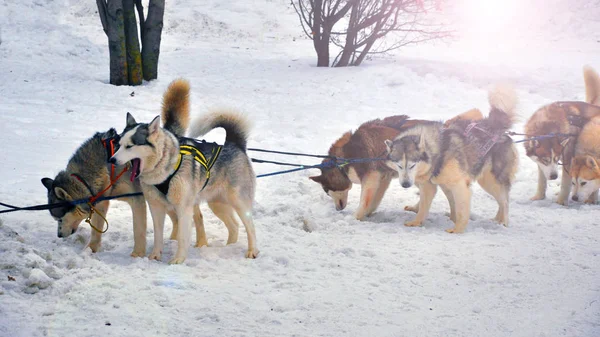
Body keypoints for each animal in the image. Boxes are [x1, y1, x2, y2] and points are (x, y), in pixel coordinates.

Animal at [41, 79, 204, 258]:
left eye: (59, 219)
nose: (59, 235)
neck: (105, 167)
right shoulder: (102, 203)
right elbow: (96, 231)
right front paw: (91, 250)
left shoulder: (137, 200)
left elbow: (138, 231)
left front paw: (137, 254)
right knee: (175, 218)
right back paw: (173, 240)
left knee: (195, 217)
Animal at [110, 79, 258, 262]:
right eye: (119, 144)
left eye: (130, 146)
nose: (112, 160)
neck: (164, 169)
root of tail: (234, 144)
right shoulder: (156, 207)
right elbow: (158, 235)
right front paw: (154, 255)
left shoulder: (183, 208)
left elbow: (182, 236)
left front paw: (178, 260)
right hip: (217, 203)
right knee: (235, 225)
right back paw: (228, 247)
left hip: (239, 202)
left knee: (250, 226)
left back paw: (252, 250)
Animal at [384, 85, 520, 232]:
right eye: (399, 165)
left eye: (412, 165)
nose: (405, 184)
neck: (438, 150)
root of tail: (495, 128)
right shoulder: (430, 186)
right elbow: (425, 206)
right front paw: (416, 221)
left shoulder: (459, 185)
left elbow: (461, 210)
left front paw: (457, 229)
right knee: (501, 201)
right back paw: (496, 220)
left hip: (492, 182)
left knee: (504, 202)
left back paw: (503, 223)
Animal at [524, 64, 600, 203]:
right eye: (545, 160)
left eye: (557, 158)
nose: (554, 176)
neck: (547, 125)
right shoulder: (541, 164)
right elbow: (542, 180)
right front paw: (539, 196)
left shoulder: (568, 160)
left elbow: (566, 184)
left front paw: (561, 201)